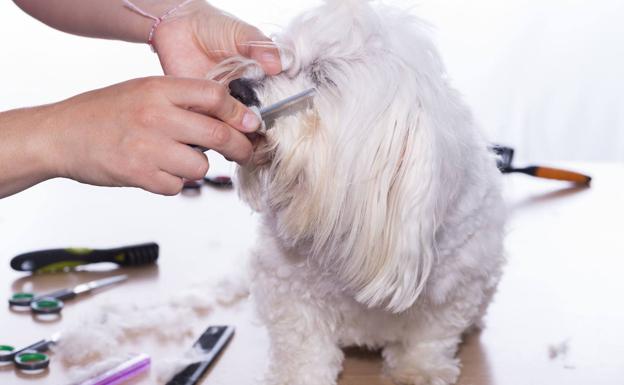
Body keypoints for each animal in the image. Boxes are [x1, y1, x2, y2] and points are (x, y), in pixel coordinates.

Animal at [211, 1, 508, 382]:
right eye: (280, 56)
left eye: (323, 76)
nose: (239, 87)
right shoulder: (287, 286)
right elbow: (302, 345)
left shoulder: (456, 288)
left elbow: (429, 337)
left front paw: (419, 370)